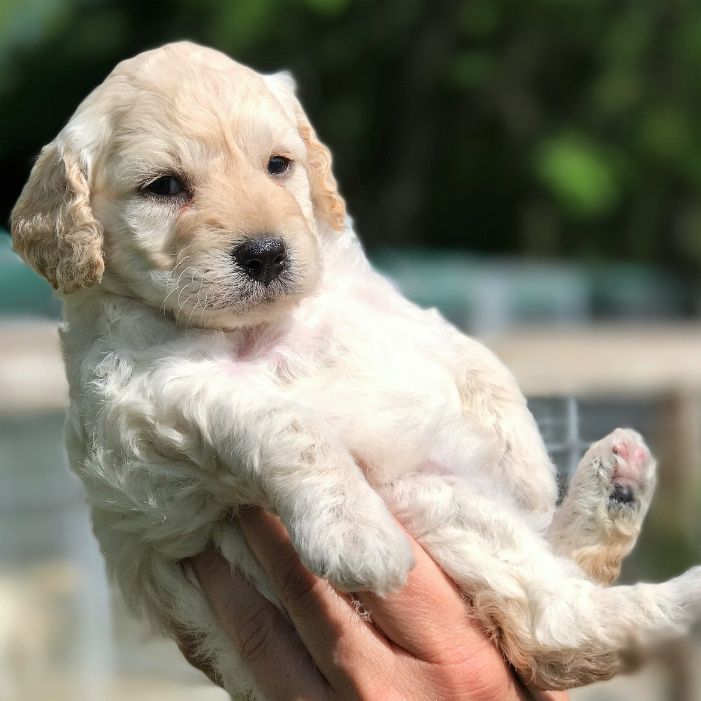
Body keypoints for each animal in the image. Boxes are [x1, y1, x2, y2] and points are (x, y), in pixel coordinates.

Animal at [10, 42, 700, 696]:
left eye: (278, 165)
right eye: (164, 187)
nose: (265, 254)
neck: (263, 325)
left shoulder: (374, 301)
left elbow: (471, 356)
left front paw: (529, 468)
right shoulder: (152, 395)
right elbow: (285, 426)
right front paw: (354, 533)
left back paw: (613, 489)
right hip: (436, 504)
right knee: (553, 633)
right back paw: (670, 583)